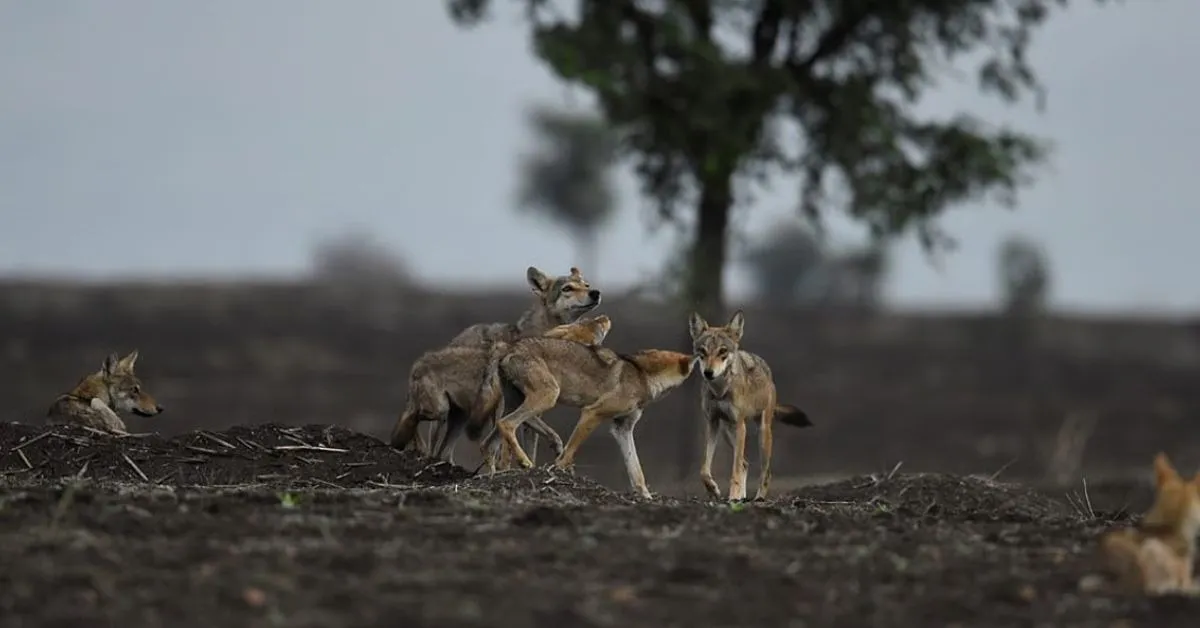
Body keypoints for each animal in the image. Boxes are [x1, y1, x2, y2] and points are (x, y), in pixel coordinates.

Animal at [389, 315, 613, 462]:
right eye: (594, 327)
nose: (605, 317)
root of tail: (418, 363)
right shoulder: (511, 411)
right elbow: (501, 449)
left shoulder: (524, 410)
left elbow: (551, 434)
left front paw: (557, 452)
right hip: (440, 410)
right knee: (412, 418)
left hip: (457, 417)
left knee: (439, 447)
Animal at [421, 265, 602, 456]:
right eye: (567, 288)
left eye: (586, 285)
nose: (595, 293)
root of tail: (456, 338)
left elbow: (535, 445)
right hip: (453, 418)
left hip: (464, 418)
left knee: (445, 452)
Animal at [468, 336, 695, 499]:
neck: (643, 374)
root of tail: (508, 346)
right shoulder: (592, 413)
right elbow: (570, 452)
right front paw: (558, 470)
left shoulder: (622, 428)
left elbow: (636, 470)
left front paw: (646, 497)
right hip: (547, 396)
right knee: (507, 425)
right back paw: (525, 463)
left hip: (520, 404)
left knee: (488, 441)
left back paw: (493, 476)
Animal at [689, 310, 813, 502]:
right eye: (702, 351)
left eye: (722, 351)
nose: (708, 373)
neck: (720, 390)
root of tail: (766, 368)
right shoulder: (712, 423)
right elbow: (704, 470)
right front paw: (714, 490)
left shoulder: (740, 426)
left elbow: (734, 471)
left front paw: (732, 497)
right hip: (727, 432)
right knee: (745, 463)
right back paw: (742, 497)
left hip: (760, 433)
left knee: (764, 472)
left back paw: (758, 499)